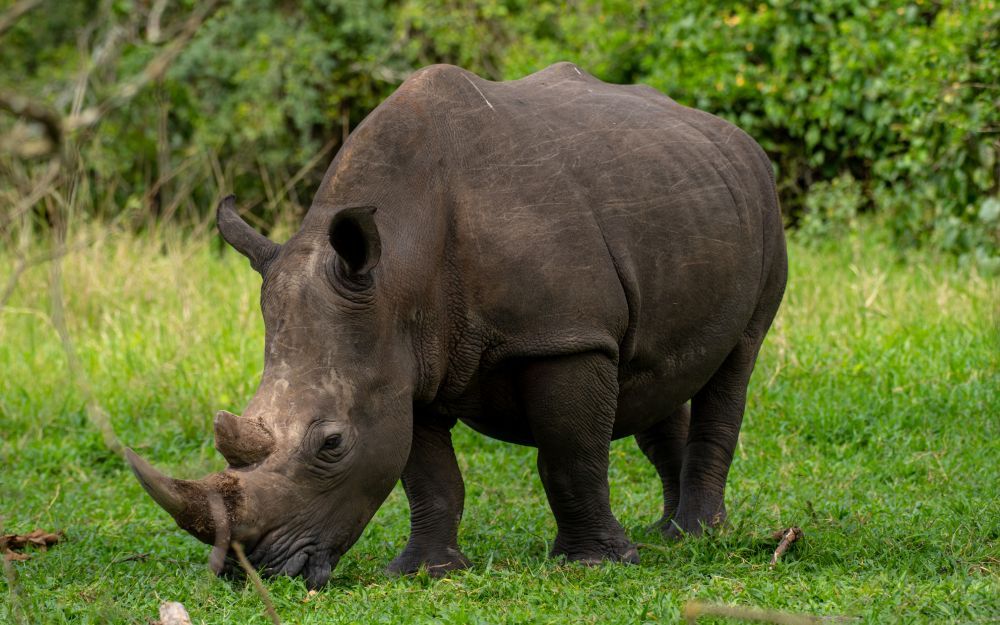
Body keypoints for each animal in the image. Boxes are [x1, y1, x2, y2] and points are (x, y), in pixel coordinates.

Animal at [126, 62, 787, 588]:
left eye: (332, 444)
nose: (250, 572)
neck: (398, 268)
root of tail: (731, 134)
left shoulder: (565, 337)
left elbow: (570, 456)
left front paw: (598, 564)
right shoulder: (402, 361)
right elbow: (429, 475)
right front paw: (425, 571)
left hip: (764, 205)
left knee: (736, 361)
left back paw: (699, 537)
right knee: (653, 377)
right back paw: (666, 532)